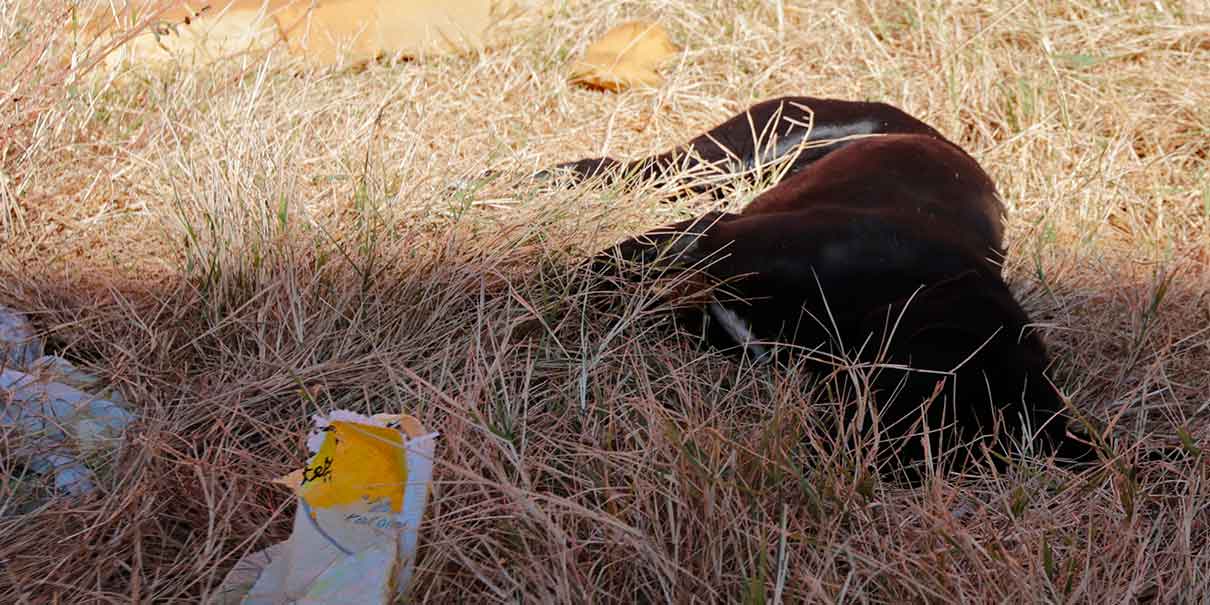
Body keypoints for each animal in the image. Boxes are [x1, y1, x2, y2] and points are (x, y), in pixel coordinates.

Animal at [534, 96, 1093, 469]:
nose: (856, 463)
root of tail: (925, 129)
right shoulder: (716, 236)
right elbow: (597, 275)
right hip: (743, 151)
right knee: (642, 170)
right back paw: (557, 177)